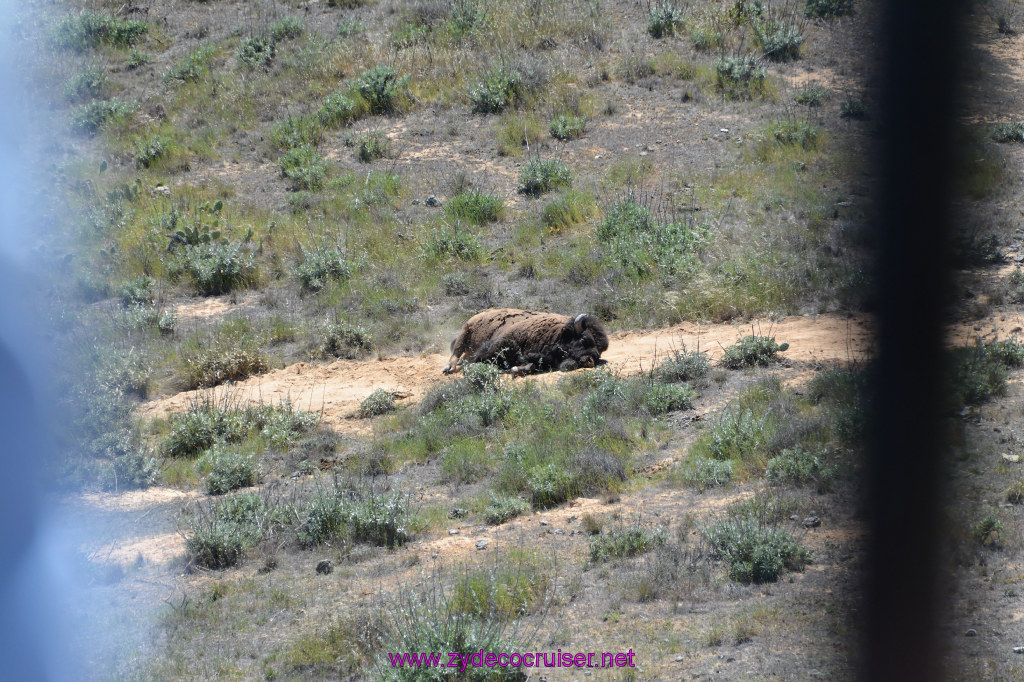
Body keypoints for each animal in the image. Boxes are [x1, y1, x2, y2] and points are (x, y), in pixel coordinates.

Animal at [442, 309, 606, 376]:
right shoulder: (499, 343)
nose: (591, 360)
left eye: (601, 350)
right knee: (456, 353)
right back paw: (449, 368)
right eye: (584, 339)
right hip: (465, 332)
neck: (558, 332)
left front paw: (515, 369)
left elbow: (530, 366)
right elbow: (479, 359)